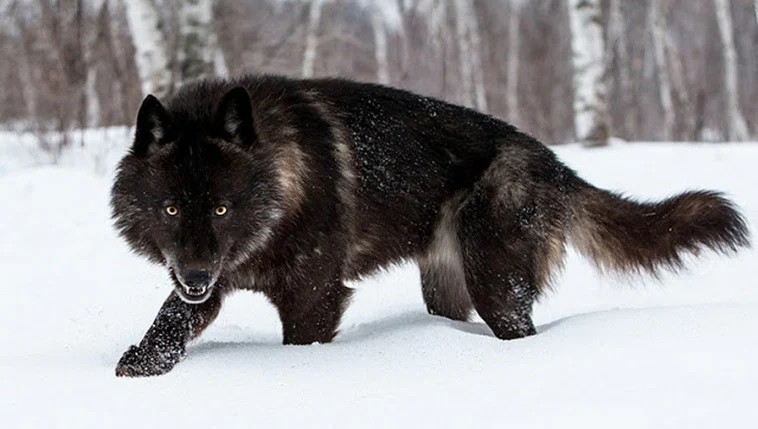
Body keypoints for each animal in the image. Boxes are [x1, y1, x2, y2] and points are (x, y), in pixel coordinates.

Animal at [111, 75, 749, 377]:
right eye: (172, 210)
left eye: (222, 209)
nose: (196, 275)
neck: (283, 179)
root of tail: (553, 162)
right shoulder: (206, 282)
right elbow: (170, 321)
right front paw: (140, 366)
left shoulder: (314, 298)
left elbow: (300, 345)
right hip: (446, 289)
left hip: (496, 287)